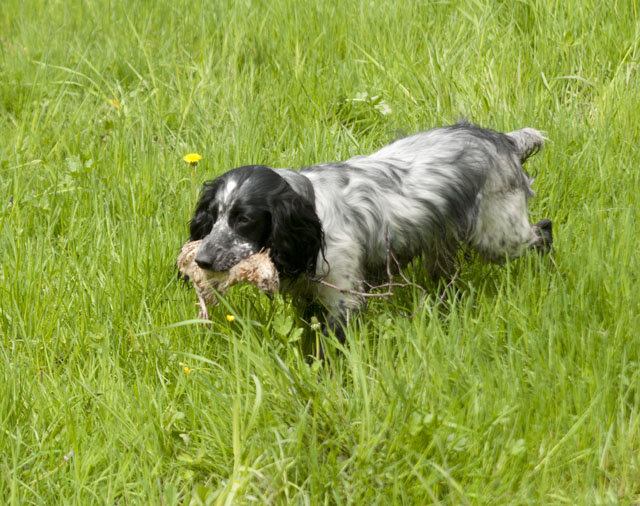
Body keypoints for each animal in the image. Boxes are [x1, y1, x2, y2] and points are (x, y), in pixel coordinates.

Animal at [188, 121, 552, 340]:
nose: (201, 260)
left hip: (499, 236)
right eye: (213, 215)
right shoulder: (308, 299)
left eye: (245, 219)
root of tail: (503, 140)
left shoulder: (342, 297)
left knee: (543, 232)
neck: (311, 216)